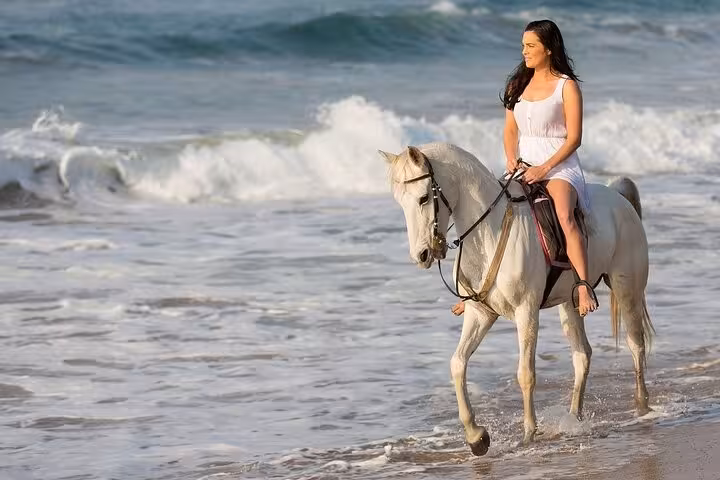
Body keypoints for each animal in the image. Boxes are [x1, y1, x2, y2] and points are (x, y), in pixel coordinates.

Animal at [379, 143, 654, 456]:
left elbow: (525, 373)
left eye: (424, 198)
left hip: (627, 290)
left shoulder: (526, 312)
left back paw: (642, 407)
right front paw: (476, 436)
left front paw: (528, 434)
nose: (422, 255)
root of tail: (618, 197)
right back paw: (574, 418)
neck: (489, 232)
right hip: (569, 303)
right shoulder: (480, 314)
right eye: (400, 202)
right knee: (582, 355)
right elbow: (458, 363)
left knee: (636, 345)